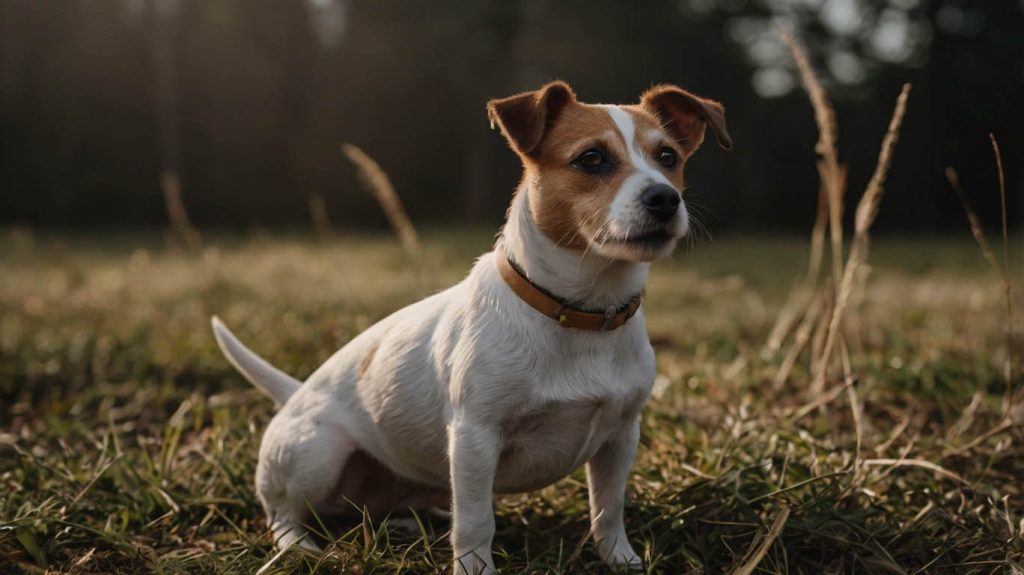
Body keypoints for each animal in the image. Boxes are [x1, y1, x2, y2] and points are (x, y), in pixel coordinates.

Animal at [211, 79, 733, 568]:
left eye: (668, 156)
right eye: (592, 159)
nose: (665, 198)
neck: (581, 311)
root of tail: (293, 392)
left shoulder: (621, 437)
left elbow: (608, 509)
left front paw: (620, 560)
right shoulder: (475, 436)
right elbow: (478, 521)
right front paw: (475, 567)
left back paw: (410, 524)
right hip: (318, 454)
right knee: (284, 512)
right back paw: (301, 546)